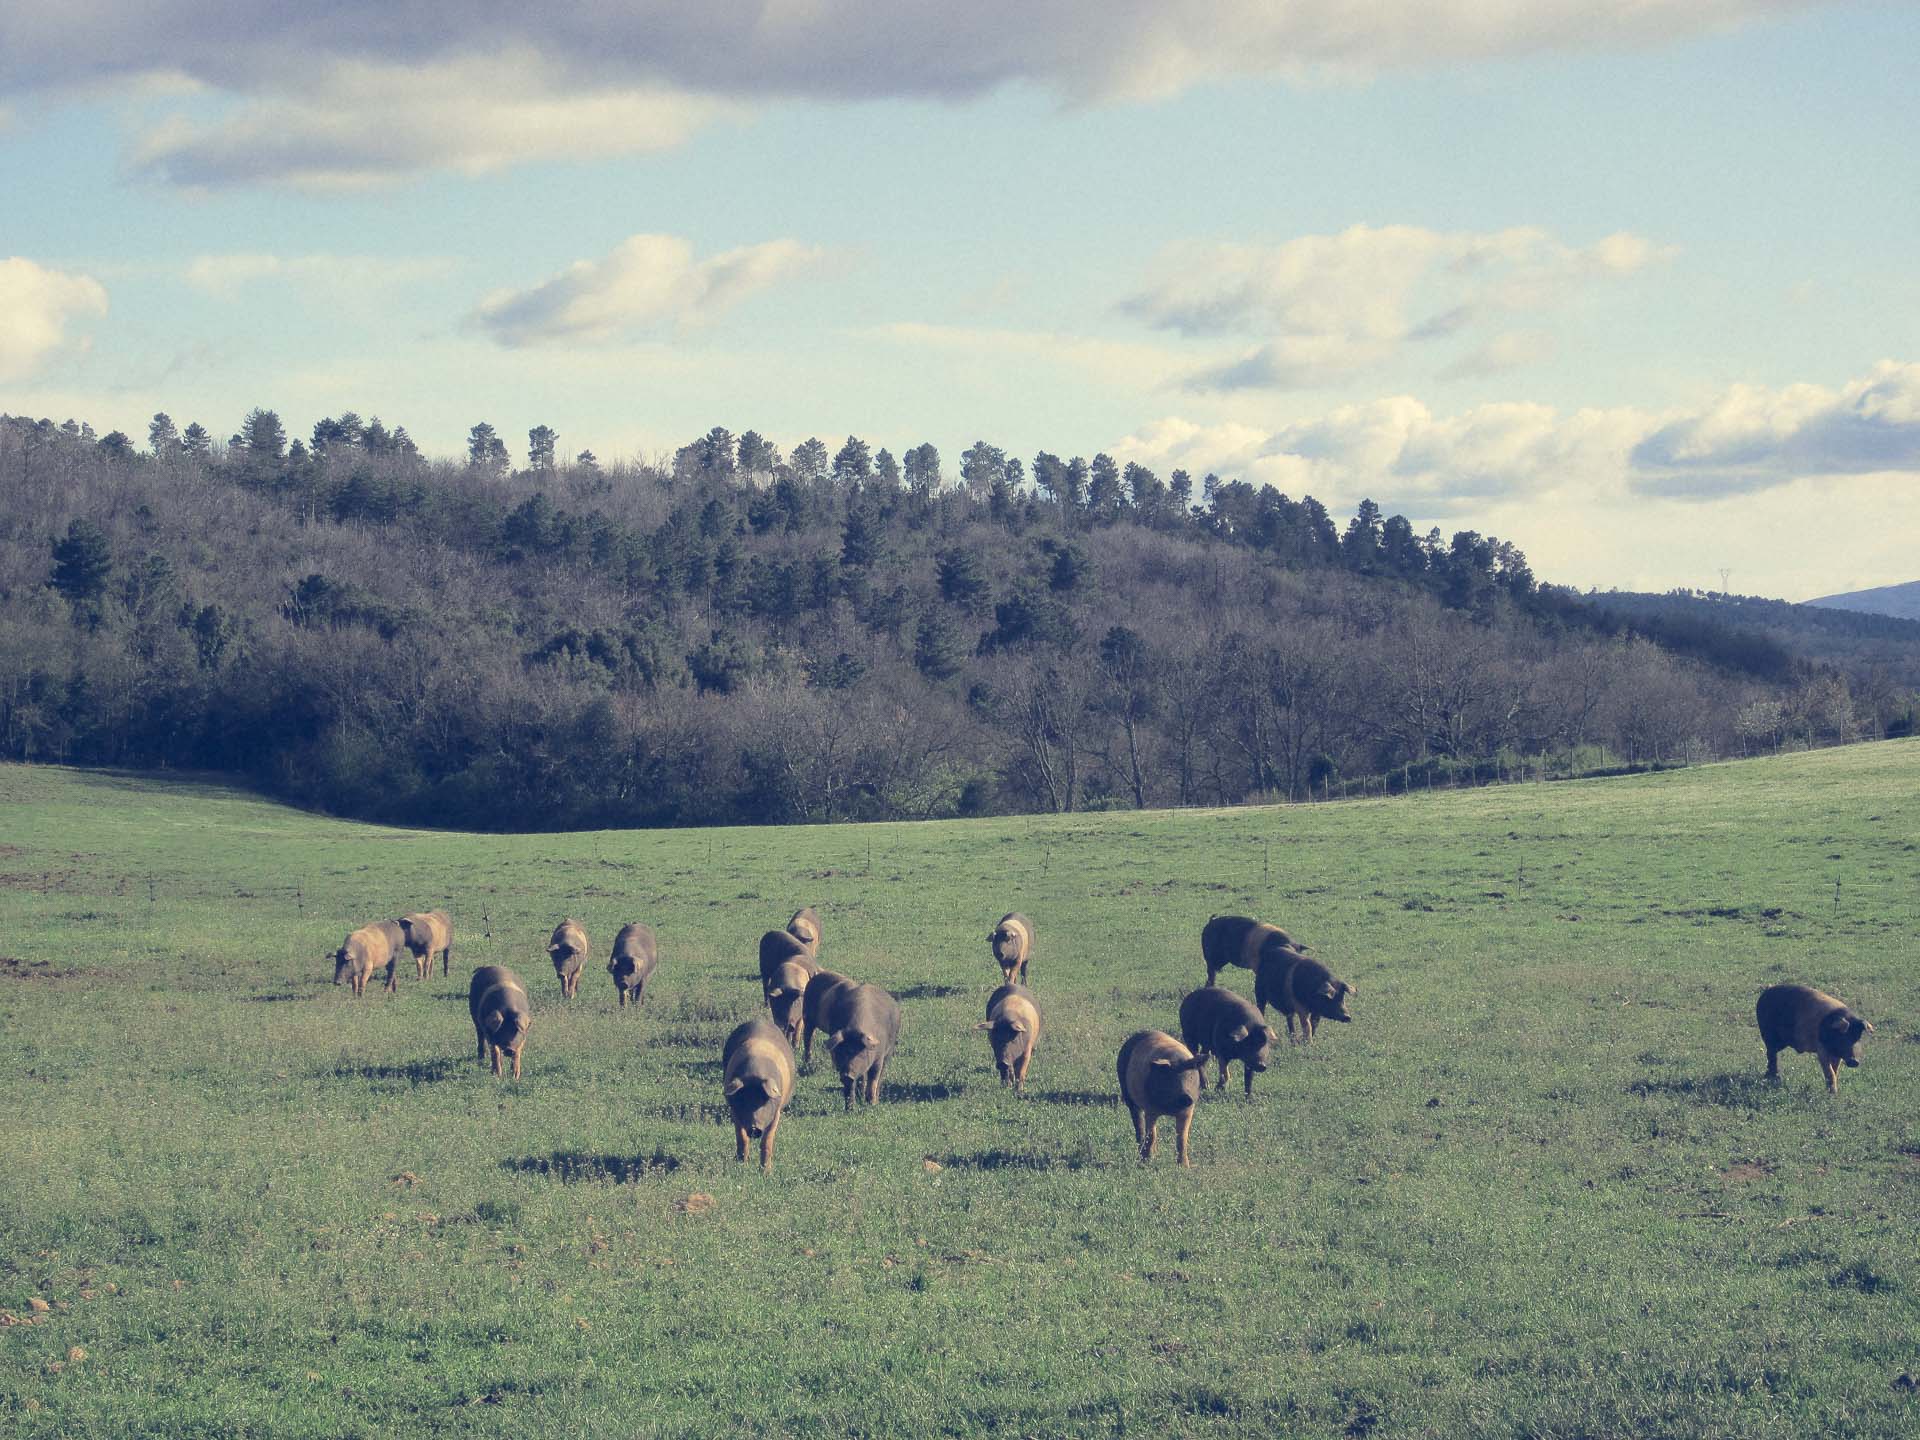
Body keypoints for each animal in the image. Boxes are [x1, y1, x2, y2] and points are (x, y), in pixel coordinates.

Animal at [721, 1013, 794, 1175]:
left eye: (764, 1100)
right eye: (743, 1100)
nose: (754, 1128)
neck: (754, 1074)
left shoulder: (776, 1111)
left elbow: (767, 1141)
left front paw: (766, 1173)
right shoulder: (734, 1110)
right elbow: (742, 1138)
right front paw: (741, 1166)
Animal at [1113, 1029, 1198, 1167]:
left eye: (1190, 1076)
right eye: (1171, 1077)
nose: (1186, 1096)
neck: (1170, 1108)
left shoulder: (1188, 1111)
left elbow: (1182, 1137)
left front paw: (1184, 1167)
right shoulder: (1150, 1109)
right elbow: (1152, 1134)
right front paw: (1147, 1162)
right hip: (1128, 1095)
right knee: (1139, 1125)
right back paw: (1143, 1153)